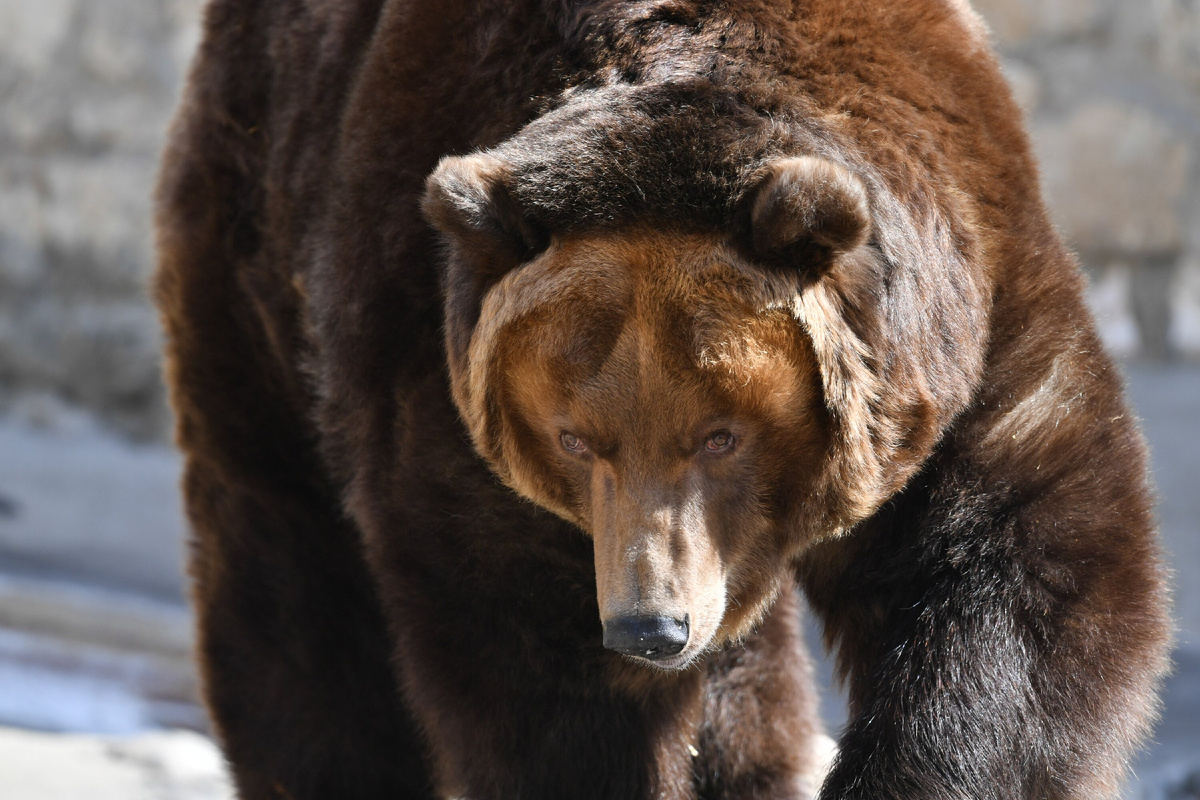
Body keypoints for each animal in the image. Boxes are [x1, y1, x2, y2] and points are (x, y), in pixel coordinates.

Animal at [154, 1, 1166, 800]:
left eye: (721, 435)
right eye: (574, 437)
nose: (651, 625)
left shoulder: (966, 318)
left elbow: (1013, 573)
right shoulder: (441, 385)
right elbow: (542, 677)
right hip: (260, 251)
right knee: (291, 568)